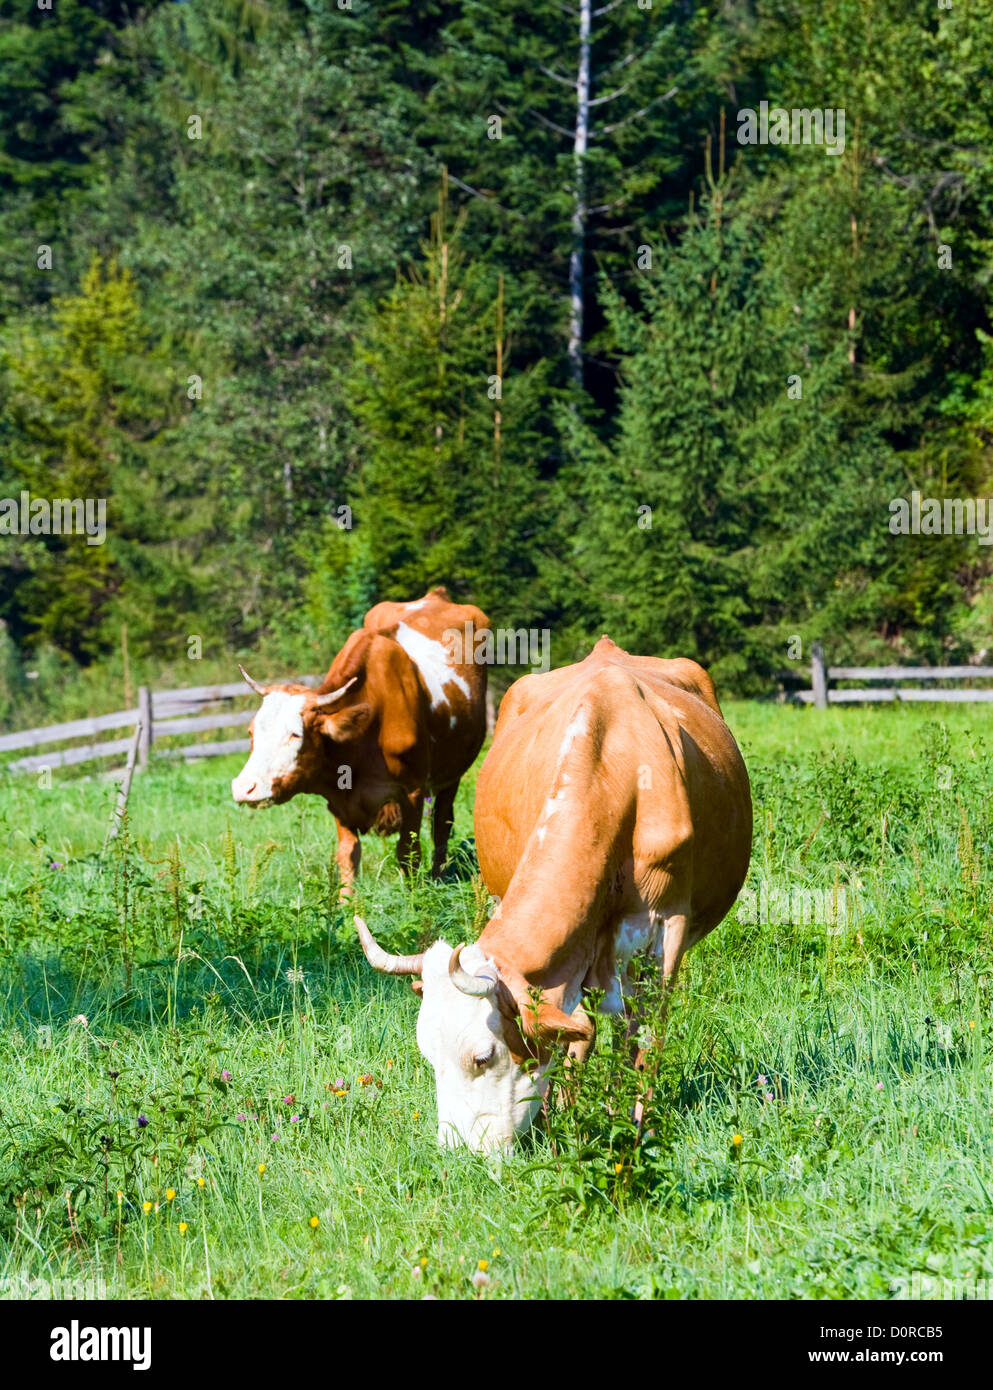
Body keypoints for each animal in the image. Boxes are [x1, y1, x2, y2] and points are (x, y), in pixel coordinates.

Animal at [231, 587, 490, 893]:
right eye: (252, 732)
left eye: (295, 734)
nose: (244, 788)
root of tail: (434, 596)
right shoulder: (339, 800)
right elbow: (348, 855)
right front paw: (346, 900)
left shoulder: (413, 791)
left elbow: (408, 852)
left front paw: (414, 897)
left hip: (452, 775)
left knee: (441, 825)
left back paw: (439, 876)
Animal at [355, 635, 752, 1151]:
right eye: (427, 1053)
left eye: (482, 1057)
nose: (457, 1154)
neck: (619, 770)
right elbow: (578, 1035)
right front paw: (557, 1117)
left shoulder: (667, 931)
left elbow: (646, 1035)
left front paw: (635, 1124)